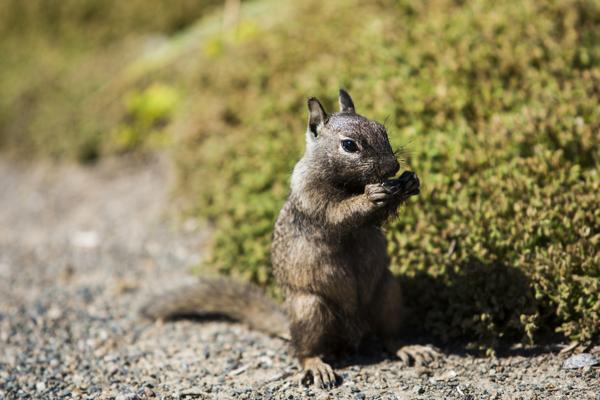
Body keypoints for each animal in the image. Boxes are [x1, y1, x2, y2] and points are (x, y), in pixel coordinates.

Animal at [143, 90, 438, 388]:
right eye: (349, 145)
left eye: (383, 130)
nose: (393, 166)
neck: (350, 184)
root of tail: (354, 332)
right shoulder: (312, 198)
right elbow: (339, 214)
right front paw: (371, 196)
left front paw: (409, 182)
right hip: (310, 310)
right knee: (303, 351)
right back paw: (318, 367)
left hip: (388, 292)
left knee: (389, 336)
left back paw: (410, 348)